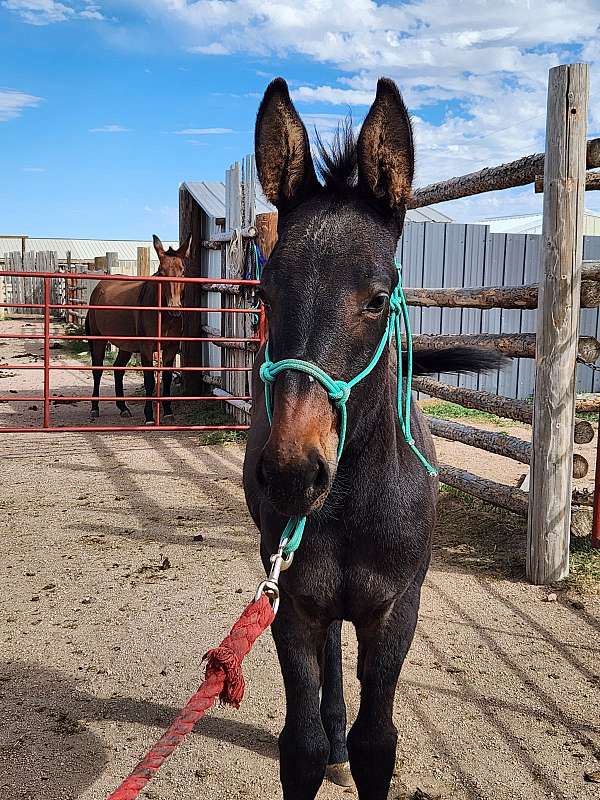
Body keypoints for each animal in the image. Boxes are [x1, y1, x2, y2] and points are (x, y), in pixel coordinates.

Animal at [84, 234, 190, 424]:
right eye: (161, 272)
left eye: (183, 271)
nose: (174, 308)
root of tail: (99, 288)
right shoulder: (146, 348)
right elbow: (149, 381)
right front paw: (149, 416)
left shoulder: (171, 347)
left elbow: (167, 379)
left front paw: (168, 411)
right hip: (99, 341)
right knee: (97, 371)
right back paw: (95, 408)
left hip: (126, 345)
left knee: (118, 370)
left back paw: (123, 408)